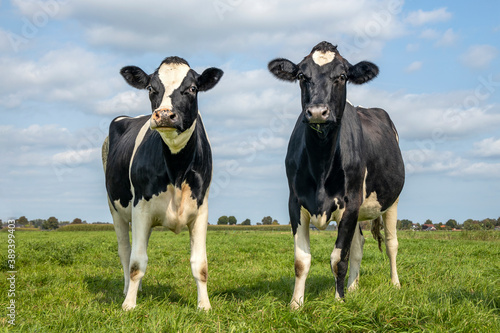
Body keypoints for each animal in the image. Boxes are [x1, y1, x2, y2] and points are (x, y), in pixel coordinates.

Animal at [101, 56, 223, 308]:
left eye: (193, 88)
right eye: (150, 88)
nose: (165, 114)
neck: (176, 168)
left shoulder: (201, 210)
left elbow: (201, 264)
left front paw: (204, 306)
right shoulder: (140, 208)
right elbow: (136, 262)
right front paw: (129, 305)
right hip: (116, 209)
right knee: (126, 251)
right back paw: (127, 290)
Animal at [268, 42, 404, 308]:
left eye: (341, 76)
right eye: (302, 76)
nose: (317, 112)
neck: (321, 162)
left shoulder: (349, 203)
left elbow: (338, 258)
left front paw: (339, 301)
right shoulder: (295, 202)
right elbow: (301, 261)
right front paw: (296, 304)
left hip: (391, 201)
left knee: (391, 243)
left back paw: (395, 284)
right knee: (359, 246)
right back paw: (353, 287)